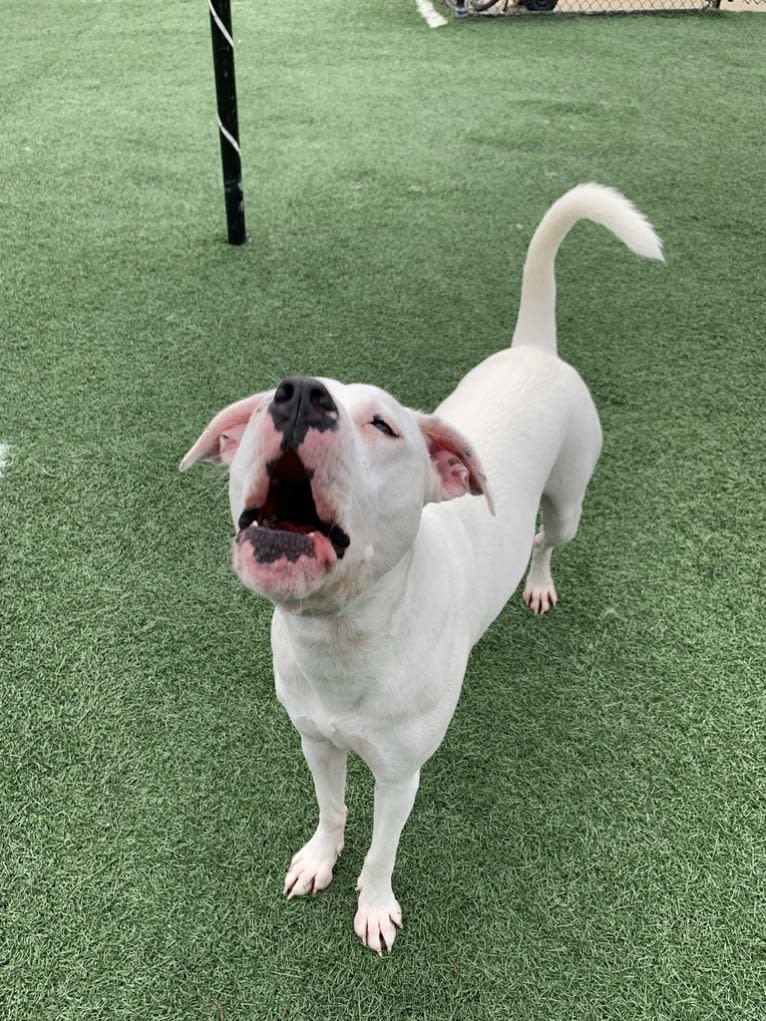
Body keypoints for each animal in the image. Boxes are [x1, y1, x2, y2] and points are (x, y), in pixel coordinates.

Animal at [182, 181, 661, 947]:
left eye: (384, 424)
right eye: (260, 408)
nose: (299, 393)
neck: (344, 638)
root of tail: (535, 349)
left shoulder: (400, 775)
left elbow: (381, 849)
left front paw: (374, 907)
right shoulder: (316, 741)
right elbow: (332, 810)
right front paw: (319, 860)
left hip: (569, 500)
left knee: (544, 538)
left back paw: (538, 583)